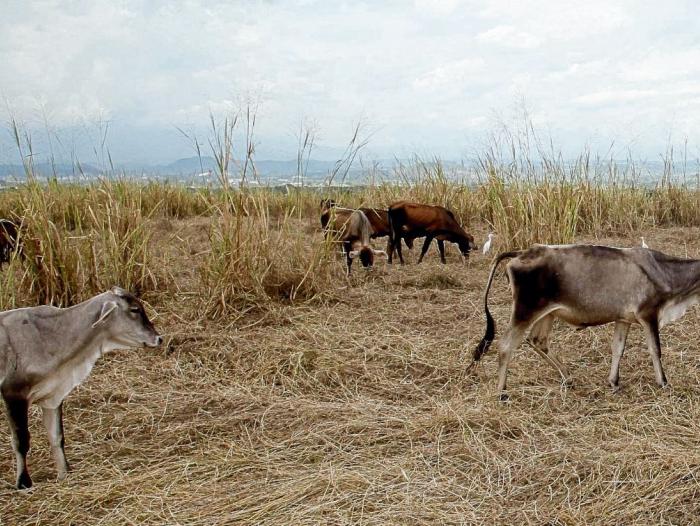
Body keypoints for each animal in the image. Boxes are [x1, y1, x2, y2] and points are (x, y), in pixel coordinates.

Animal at [0, 288, 161, 490]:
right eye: (134, 309)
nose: (159, 339)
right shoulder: (13, 394)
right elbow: (21, 441)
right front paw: (23, 483)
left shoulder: (53, 397)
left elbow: (56, 437)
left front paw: (64, 473)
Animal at [470, 245, 700, 402]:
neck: (666, 271)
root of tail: (522, 252)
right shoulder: (648, 314)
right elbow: (655, 349)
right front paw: (663, 383)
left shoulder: (623, 318)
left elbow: (618, 348)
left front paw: (614, 382)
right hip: (524, 311)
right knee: (506, 345)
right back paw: (502, 392)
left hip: (547, 314)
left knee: (538, 341)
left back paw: (568, 378)